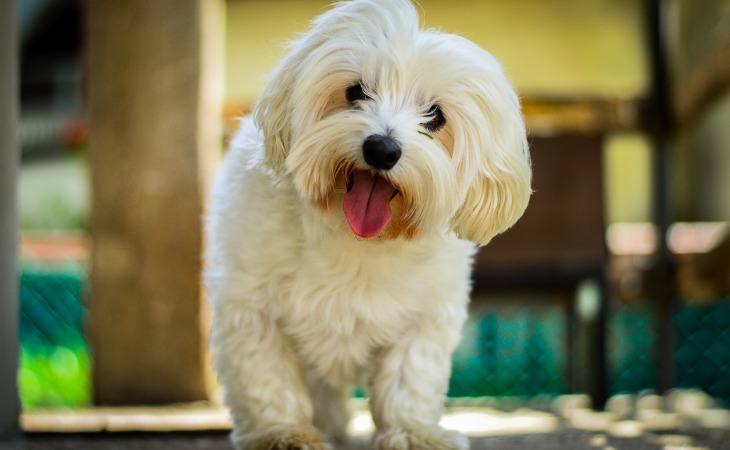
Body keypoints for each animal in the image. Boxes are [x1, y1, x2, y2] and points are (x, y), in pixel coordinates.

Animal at [205, 1, 528, 448]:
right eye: (356, 92)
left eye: (435, 115)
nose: (382, 149)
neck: (356, 239)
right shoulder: (250, 306)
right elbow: (266, 377)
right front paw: (281, 432)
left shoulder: (425, 316)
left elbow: (411, 378)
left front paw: (413, 432)